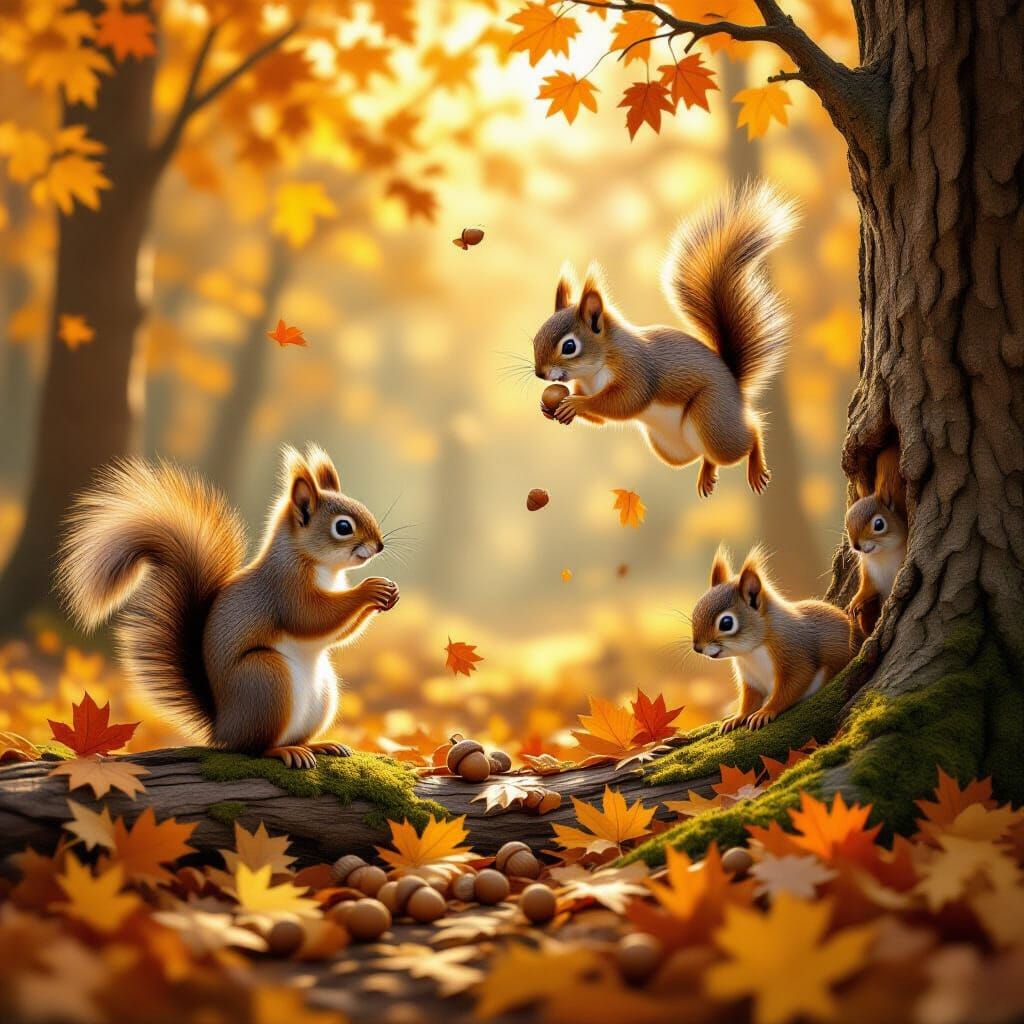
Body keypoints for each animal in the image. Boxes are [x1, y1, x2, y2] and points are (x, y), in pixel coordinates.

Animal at [56, 446, 399, 770]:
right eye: (343, 527)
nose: (379, 545)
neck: (322, 566)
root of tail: (223, 728)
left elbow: (338, 633)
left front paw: (388, 593)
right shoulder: (284, 588)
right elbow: (311, 618)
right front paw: (370, 589)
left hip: (322, 696)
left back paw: (318, 745)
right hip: (265, 679)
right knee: (255, 748)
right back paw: (284, 751)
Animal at [532, 181, 798, 497]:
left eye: (570, 346)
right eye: (535, 338)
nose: (539, 374)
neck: (595, 369)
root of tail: (735, 387)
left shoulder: (636, 370)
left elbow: (624, 402)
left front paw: (577, 405)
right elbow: (603, 417)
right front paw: (553, 408)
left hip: (712, 419)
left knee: (750, 432)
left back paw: (755, 465)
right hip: (672, 450)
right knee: (705, 455)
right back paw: (706, 474)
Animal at [691, 546, 855, 733]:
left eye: (726, 623)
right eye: (696, 610)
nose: (697, 648)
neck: (752, 651)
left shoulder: (793, 654)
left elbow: (792, 685)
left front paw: (765, 712)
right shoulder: (750, 678)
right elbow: (750, 699)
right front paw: (737, 717)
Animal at [845, 443, 907, 636]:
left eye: (879, 524)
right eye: (847, 524)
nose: (856, 546)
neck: (882, 556)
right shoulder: (868, 572)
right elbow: (867, 589)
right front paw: (855, 602)